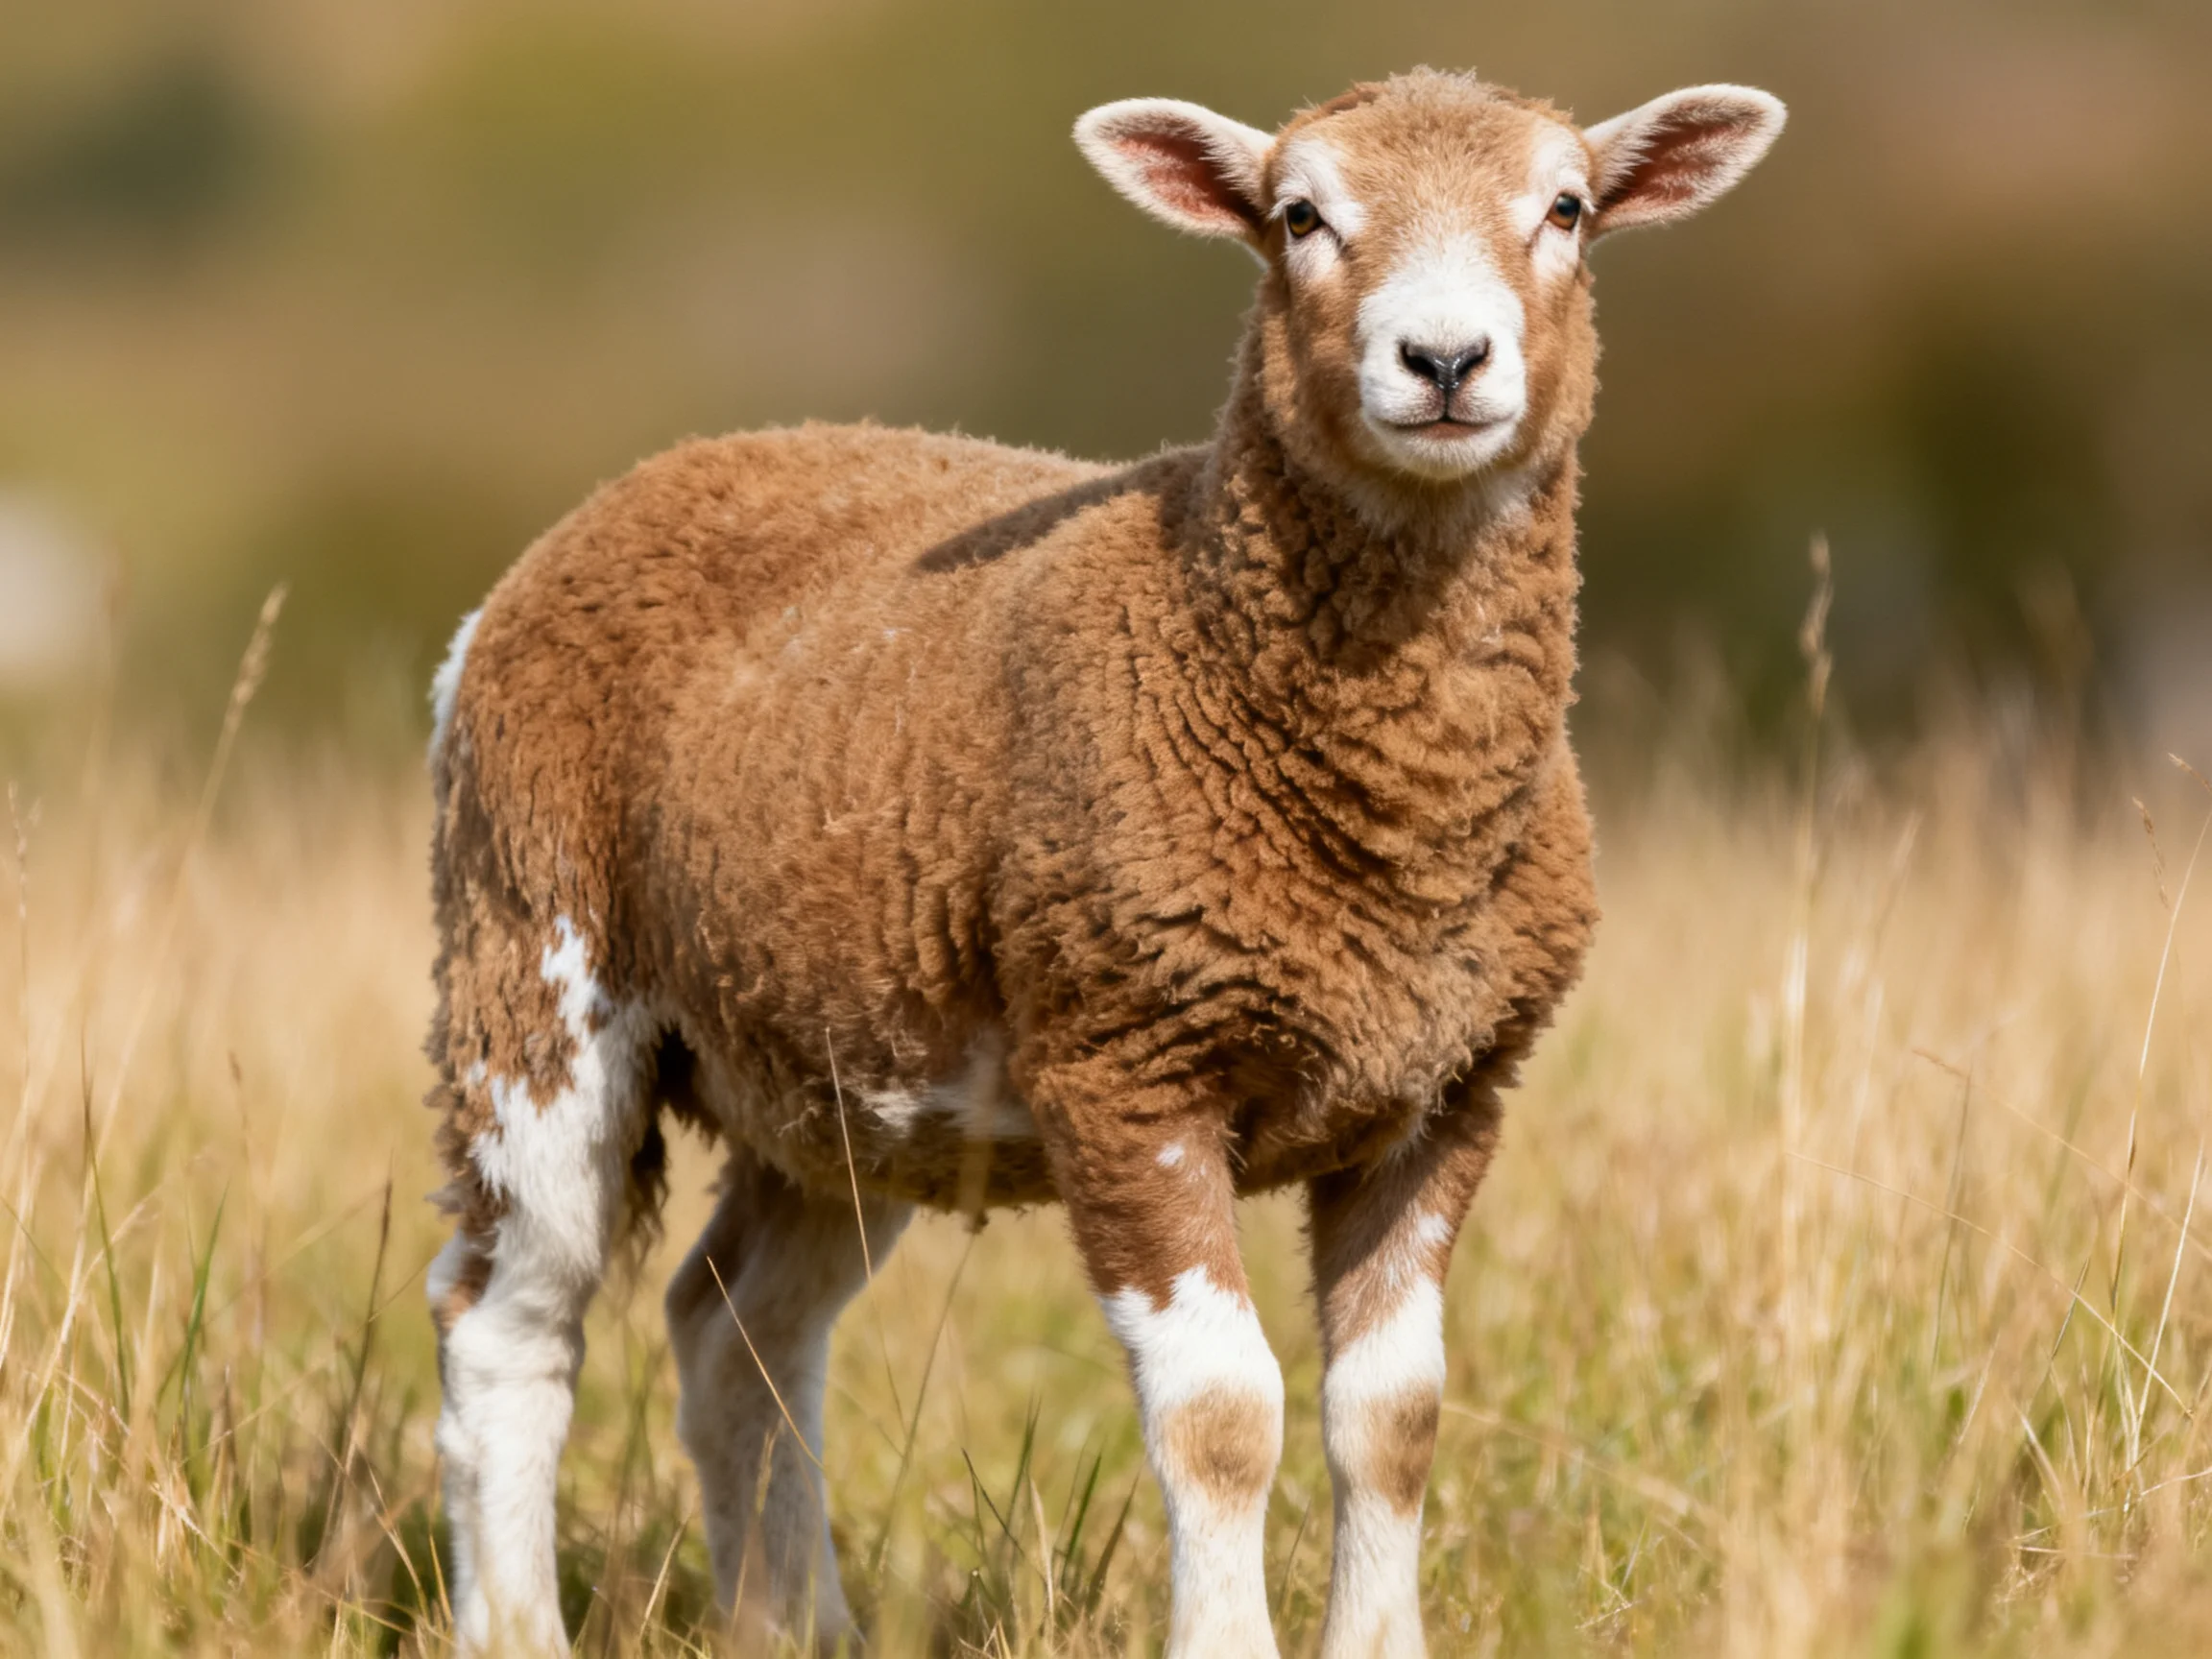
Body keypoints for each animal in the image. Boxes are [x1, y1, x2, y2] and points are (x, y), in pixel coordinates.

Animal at [422, 66, 1784, 1657]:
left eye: (1565, 209)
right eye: (1299, 216)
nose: (1444, 358)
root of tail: (614, 500)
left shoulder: (1449, 1088)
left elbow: (1392, 1419)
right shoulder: (1128, 1059)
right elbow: (1223, 1416)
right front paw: (1228, 1639)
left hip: (833, 1064)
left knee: (736, 1327)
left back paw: (797, 1623)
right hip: (529, 955)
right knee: (508, 1330)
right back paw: (517, 1622)